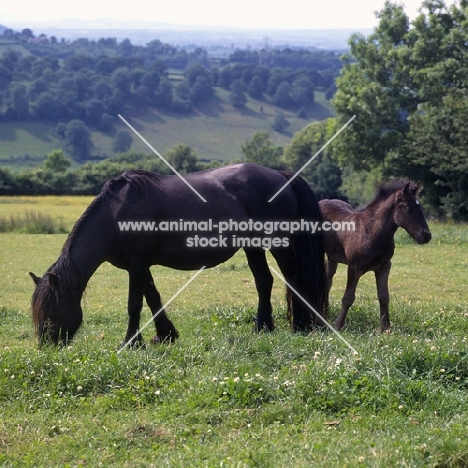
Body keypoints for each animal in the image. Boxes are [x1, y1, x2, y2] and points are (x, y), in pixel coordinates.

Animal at [31, 163, 328, 346]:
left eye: (51, 310)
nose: (47, 345)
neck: (116, 214)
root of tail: (281, 175)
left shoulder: (137, 265)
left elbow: (134, 304)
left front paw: (131, 342)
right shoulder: (138, 266)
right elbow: (152, 298)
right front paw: (165, 335)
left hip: (280, 245)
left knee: (292, 280)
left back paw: (299, 325)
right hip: (252, 246)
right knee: (264, 282)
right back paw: (262, 327)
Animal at [320, 178, 434, 330]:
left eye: (420, 208)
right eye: (408, 208)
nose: (426, 236)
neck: (371, 231)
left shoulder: (384, 266)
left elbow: (384, 296)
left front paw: (385, 327)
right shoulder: (354, 267)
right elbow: (348, 297)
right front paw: (338, 326)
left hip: (333, 257)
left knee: (327, 280)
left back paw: (325, 313)